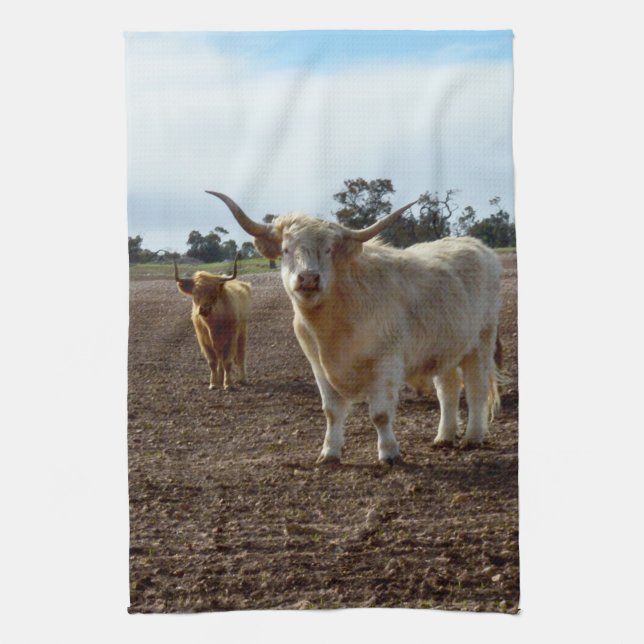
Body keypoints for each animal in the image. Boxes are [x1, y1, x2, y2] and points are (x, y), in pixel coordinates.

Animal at [175, 253, 251, 391]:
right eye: (195, 293)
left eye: (214, 292)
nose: (204, 309)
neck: (214, 325)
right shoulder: (204, 340)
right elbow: (212, 362)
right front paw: (214, 383)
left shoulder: (231, 338)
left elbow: (228, 361)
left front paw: (228, 384)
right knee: (220, 358)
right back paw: (220, 378)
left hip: (242, 332)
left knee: (240, 355)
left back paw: (243, 379)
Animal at [207, 191, 503, 464]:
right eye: (287, 249)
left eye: (328, 250)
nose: (308, 278)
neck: (334, 323)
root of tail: (477, 245)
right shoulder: (319, 366)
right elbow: (332, 411)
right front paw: (329, 452)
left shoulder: (386, 363)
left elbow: (380, 414)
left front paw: (389, 453)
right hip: (445, 348)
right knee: (448, 389)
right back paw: (444, 436)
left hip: (482, 340)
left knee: (476, 389)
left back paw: (473, 437)